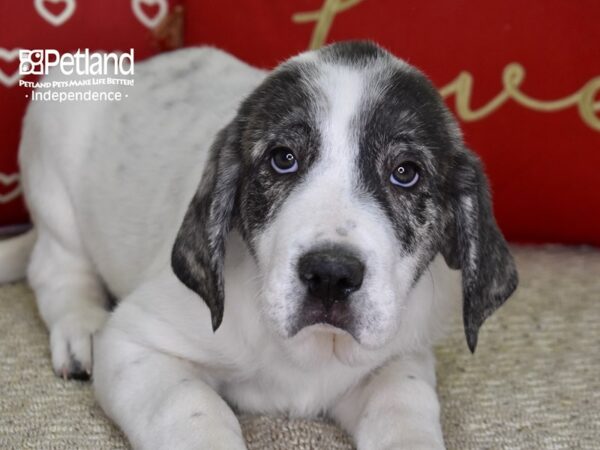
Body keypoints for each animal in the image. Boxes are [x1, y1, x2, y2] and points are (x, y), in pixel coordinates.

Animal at [0, 40, 516, 448]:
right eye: (282, 159)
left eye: (406, 173)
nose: (331, 274)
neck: (312, 351)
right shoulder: (135, 345)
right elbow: (192, 409)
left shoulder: (398, 358)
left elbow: (405, 407)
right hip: (56, 147)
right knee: (55, 269)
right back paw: (81, 327)